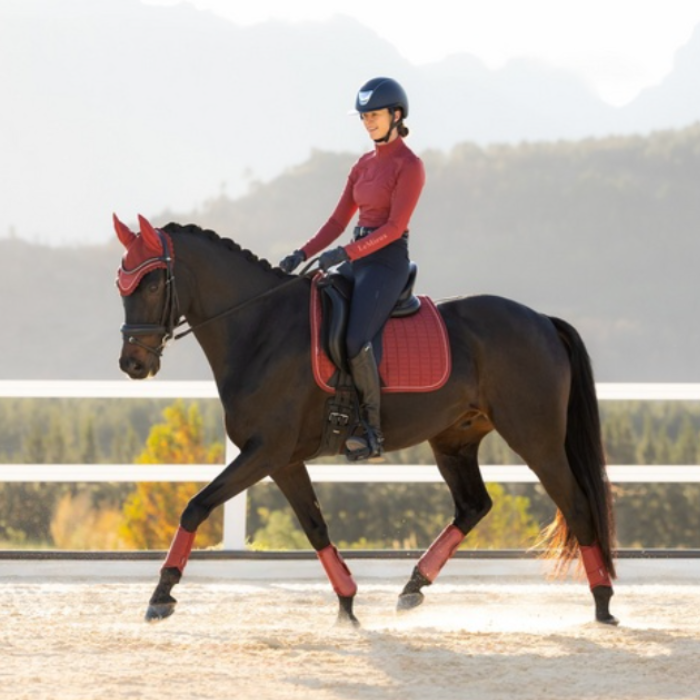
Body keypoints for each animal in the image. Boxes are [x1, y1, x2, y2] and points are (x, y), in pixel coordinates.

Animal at [114, 213, 618, 626]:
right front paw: (347, 604)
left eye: (154, 285)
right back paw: (413, 588)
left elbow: (196, 505)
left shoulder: (265, 451)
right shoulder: (282, 459)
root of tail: (542, 320)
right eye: (122, 286)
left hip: (536, 438)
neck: (260, 327)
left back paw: (603, 603)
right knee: (474, 505)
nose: (133, 364)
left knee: (577, 505)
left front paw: (161, 594)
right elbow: (315, 526)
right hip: (454, 439)